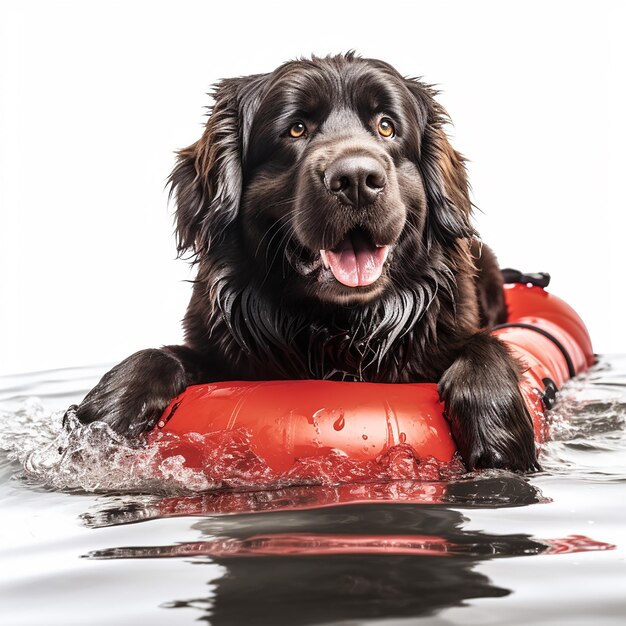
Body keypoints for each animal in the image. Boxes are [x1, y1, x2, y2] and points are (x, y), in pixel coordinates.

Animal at [73, 53, 540, 470]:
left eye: (386, 126)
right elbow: (158, 355)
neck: (335, 331)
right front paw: (104, 418)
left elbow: (487, 346)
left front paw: (499, 435)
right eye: (296, 129)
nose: (357, 179)